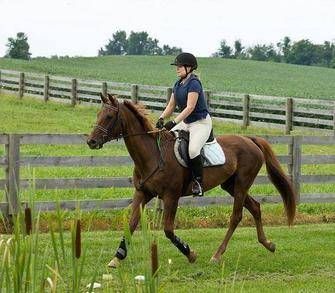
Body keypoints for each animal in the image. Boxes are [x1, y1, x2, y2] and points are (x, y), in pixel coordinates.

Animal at [87, 94, 296, 266]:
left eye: (109, 117)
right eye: (98, 114)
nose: (91, 141)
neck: (153, 155)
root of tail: (250, 140)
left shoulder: (171, 197)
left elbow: (168, 230)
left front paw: (190, 254)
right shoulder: (142, 193)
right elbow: (130, 224)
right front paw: (117, 257)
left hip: (242, 184)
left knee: (236, 216)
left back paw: (217, 255)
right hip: (230, 185)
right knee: (255, 207)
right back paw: (268, 244)